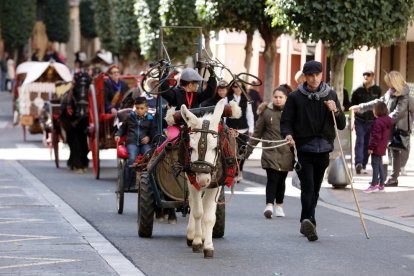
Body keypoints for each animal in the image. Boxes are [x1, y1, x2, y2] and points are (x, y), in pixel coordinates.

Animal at [180, 99, 239, 258]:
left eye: (215, 148)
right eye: (191, 148)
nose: (203, 180)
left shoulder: (216, 185)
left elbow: (209, 216)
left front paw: (208, 245)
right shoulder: (192, 180)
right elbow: (198, 212)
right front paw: (197, 242)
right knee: (194, 203)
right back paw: (192, 235)